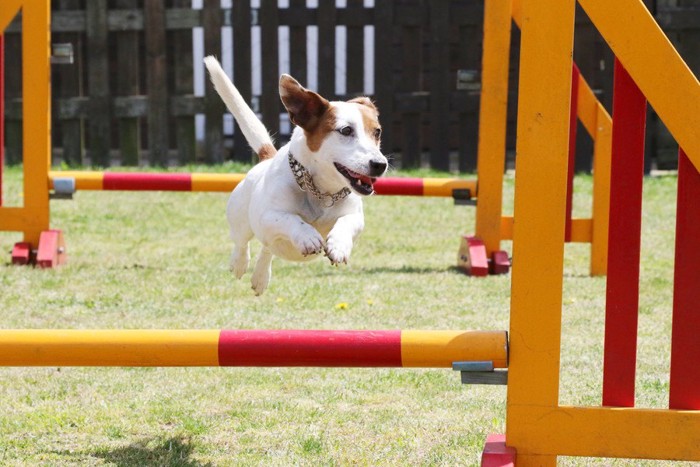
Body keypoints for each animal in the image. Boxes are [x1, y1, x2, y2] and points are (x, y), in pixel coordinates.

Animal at [202, 55, 388, 296]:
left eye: (377, 132)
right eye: (346, 130)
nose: (380, 165)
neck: (321, 191)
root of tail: (266, 158)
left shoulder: (355, 215)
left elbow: (346, 221)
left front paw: (338, 245)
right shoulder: (268, 216)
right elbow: (290, 219)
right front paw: (307, 236)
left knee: (267, 248)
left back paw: (260, 277)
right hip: (240, 219)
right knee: (242, 243)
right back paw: (239, 263)